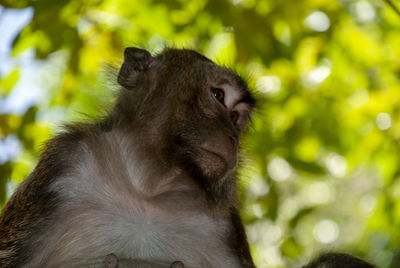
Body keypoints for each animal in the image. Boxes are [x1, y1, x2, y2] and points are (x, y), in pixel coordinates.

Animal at [0, 46, 376, 268]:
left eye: (237, 117)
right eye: (217, 95)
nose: (232, 138)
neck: (147, 187)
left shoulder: (225, 223)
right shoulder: (62, 165)